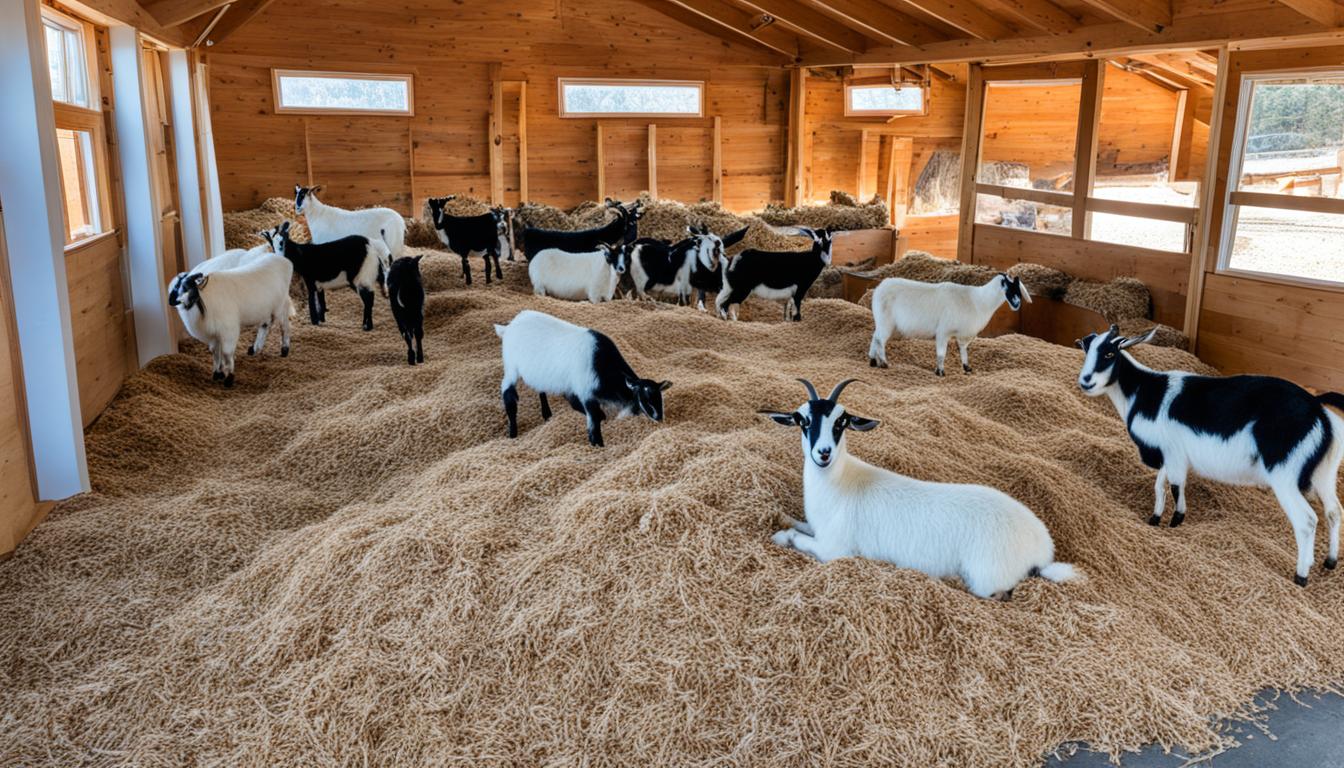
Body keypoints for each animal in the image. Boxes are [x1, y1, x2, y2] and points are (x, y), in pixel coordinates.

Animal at [494, 309, 672, 446]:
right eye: (644, 397)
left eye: (659, 397)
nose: (659, 417)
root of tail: (509, 326)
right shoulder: (586, 392)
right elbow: (593, 424)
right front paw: (598, 445)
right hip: (511, 367)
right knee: (508, 395)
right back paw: (513, 433)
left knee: (541, 390)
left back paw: (547, 414)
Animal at [763, 379, 1085, 599]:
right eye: (802, 420)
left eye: (842, 422)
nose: (824, 453)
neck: (840, 484)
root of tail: (1042, 549)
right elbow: (799, 524)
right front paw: (782, 517)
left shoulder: (835, 549)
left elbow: (796, 538)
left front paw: (780, 536)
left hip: (988, 575)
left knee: (998, 594)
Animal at [870, 273, 1026, 376]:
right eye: (1009, 289)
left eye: (1018, 290)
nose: (1017, 305)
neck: (979, 301)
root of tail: (879, 288)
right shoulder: (943, 331)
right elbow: (941, 353)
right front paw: (940, 372)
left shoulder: (963, 335)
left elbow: (963, 351)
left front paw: (967, 368)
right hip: (886, 321)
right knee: (880, 340)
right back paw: (884, 363)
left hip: (881, 321)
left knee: (874, 337)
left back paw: (872, 361)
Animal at [1075, 321, 1344, 586]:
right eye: (1087, 350)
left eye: (1110, 353)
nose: (1086, 382)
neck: (1142, 392)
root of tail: (1317, 410)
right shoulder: (1170, 456)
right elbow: (1160, 486)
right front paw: (1155, 518)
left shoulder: (1173, 453)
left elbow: (1175, 487)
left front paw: (1176, 521)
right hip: (1325, 473)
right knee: (1333, 511)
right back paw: (1330, 561)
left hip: (1284, 474)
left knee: (1307, 521)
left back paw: (1301, 575)